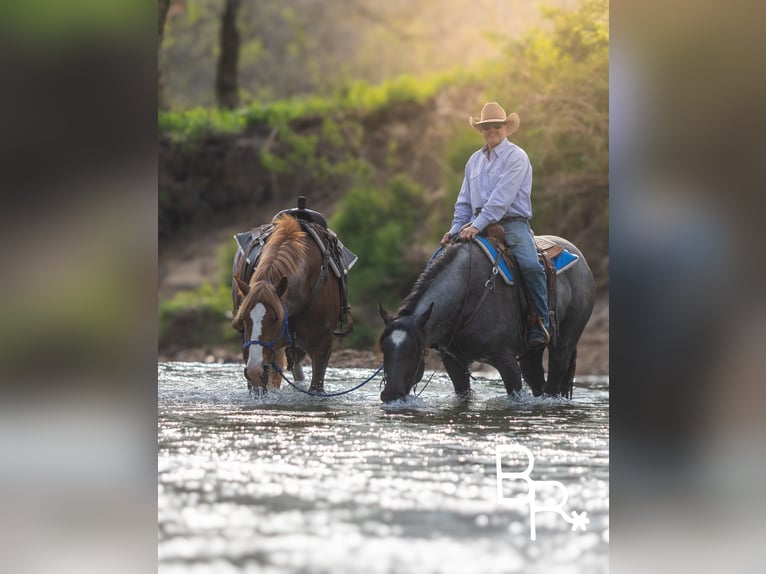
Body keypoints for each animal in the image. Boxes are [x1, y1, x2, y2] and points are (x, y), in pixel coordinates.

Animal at [377, 232, 596, 402]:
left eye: (414, 351)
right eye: (384, 349)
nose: (390, 394)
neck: (466, 293)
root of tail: (582, 261)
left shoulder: (507, 361)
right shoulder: (453, 362)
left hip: (564, 344)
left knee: (553, 382)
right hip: (531, 352)